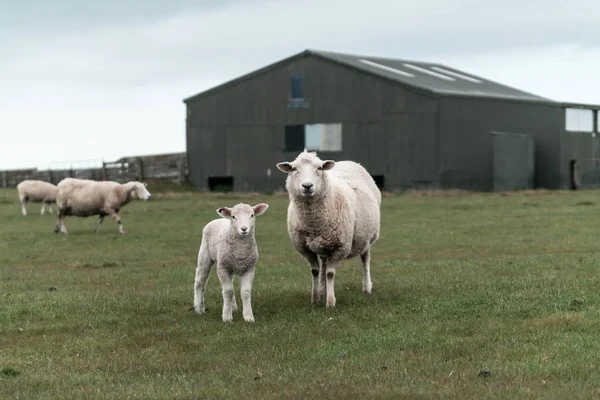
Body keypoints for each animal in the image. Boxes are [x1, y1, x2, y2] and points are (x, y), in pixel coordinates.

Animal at [276, 148, 380, 308]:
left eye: (319, 168)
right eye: (294, 169)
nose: (307, 186)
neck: (313, 223)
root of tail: (350, 162)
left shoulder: (340, 246)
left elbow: (330, 273)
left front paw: (330, 302)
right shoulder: (305, 248)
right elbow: (315, 271)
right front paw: (316, 298)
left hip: (368, 237)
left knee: (365, 259)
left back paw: (367, 287)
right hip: (324, 244)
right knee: (324, 264)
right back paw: (322, 289)